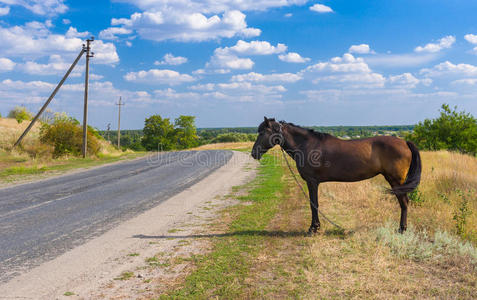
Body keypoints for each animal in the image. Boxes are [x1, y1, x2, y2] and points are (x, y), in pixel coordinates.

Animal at [249, 117, 420, 234]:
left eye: (263, 132)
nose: (253, 153)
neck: (307, 145)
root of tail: (405, 142)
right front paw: (315, 227)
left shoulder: (312, 182)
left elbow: (314, 204)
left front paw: (313, 228)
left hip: (396, 181)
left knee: (404, 203)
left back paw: (401, 229)